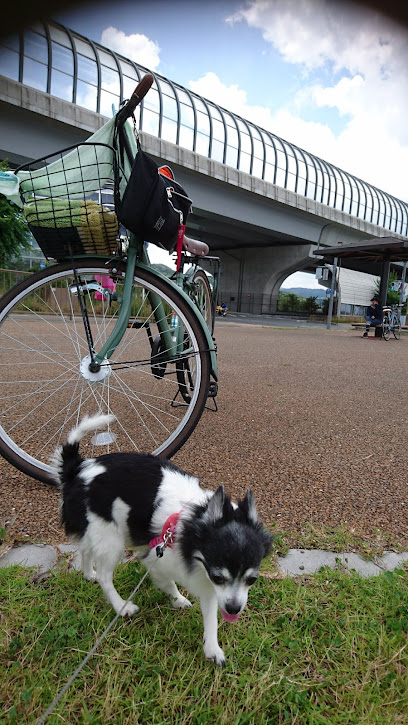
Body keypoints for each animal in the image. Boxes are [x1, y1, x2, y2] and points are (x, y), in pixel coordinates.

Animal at [53, 416, 270, 664]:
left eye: (252, 580)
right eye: (218, 577)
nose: (234, 609)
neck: (193, 520)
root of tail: (78, 469)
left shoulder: (209, 584)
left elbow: (211, 616)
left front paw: (212, 648)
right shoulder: (157, 558)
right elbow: (169, 583)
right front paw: (177, 599)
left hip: (96, 527)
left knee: (86, 549)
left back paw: (89, 574)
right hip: (111, 539)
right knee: (105, 577)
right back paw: (120, 606)